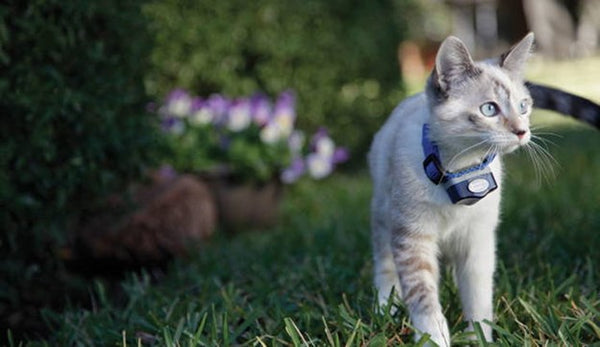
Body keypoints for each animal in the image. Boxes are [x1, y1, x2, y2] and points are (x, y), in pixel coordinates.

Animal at [368, 32, 536, 346]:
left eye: (523, 106)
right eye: (489, 109)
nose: (522, 131)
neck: (461, 171)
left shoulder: (478, 239)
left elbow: (479, 297)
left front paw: (478, 337)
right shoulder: (413, 237)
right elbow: (422, 295)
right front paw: (434, 337)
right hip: (384, 216)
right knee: (384, 266)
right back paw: (385, 309)